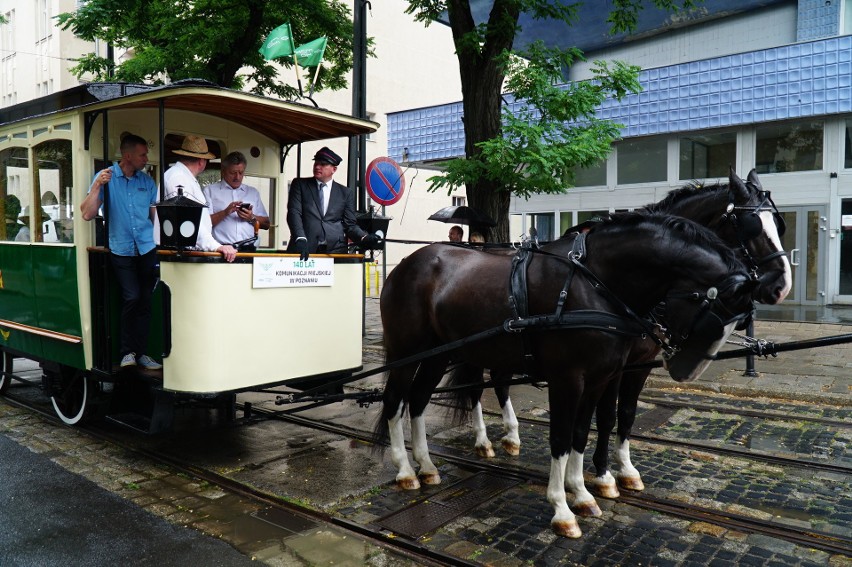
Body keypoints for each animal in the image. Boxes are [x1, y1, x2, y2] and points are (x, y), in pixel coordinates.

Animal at [376, 212, 756, 536]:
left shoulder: (600, 377)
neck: (595, 283)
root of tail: (407, 263)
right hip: (407, 353)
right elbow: (561, 437)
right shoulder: (568, 379)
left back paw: (427, 465)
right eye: (717, 317)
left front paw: (583, 491)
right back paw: (406, 470)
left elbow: (583, 431)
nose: (683, 370)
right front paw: (562, 508)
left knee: (419, 400)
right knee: (395, 401)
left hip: (440, 354)